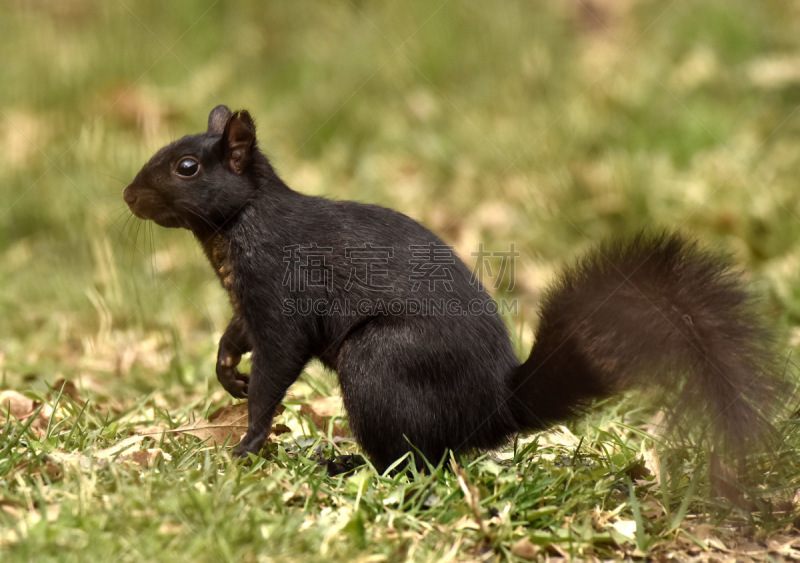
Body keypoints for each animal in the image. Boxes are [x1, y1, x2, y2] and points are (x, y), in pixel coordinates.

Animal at [122, 104, 784, 472]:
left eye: (187, 168)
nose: (128, 196)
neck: (238, 225)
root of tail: (495, 412)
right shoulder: (247, 300)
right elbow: (238, 335)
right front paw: (226, 372)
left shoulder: (282, 295)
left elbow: (277, 366)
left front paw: (248, 443)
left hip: (381, 361)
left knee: (414, 461)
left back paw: (346, 464)